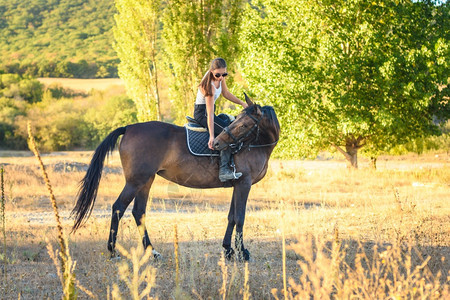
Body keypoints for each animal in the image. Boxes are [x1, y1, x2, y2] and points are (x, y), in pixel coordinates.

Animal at [71, 94, 280, 260]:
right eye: (236, 121)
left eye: (244, 124)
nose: (217, 143)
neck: (254, 144)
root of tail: (129, 127)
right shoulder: (244, 184)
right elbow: (240, 218)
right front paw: (242, 253)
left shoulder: (237, 185)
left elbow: (231, 217)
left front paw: (228, 250)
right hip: (136, 181)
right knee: (118, 208)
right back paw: (113, 251)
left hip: (146, 181)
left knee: (138, 212)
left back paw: (152, 252)